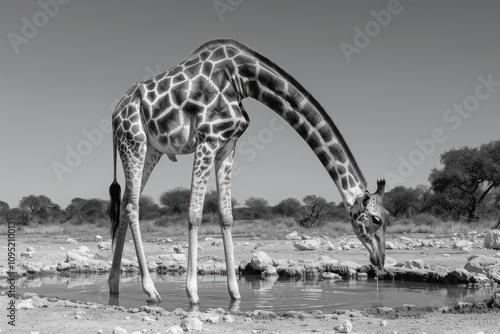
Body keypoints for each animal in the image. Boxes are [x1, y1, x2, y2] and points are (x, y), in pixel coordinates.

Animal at [108, 39, 390, 306]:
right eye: (376, 220)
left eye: (388, 218)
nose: (380, 260)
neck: (242, 79)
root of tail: (115, 114)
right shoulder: (207, 140)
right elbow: (195, 214)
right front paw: (192, 294)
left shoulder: (227, 145)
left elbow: (226, 216)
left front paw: (235, 294)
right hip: (134, 141)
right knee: (132, 205)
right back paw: (150, 290)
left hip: (151, 150)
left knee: (125, 202)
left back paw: (113, 285)